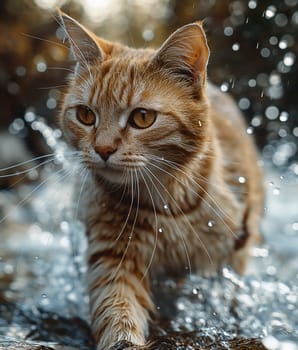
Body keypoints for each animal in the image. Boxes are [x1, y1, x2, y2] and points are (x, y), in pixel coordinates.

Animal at [57, 10, 264, 350]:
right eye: (86, 115)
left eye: (142, 118)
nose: (102, 149)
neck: (167, 203)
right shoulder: (115, 255)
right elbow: (116, 307)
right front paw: (123, 340)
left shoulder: (226, 261)